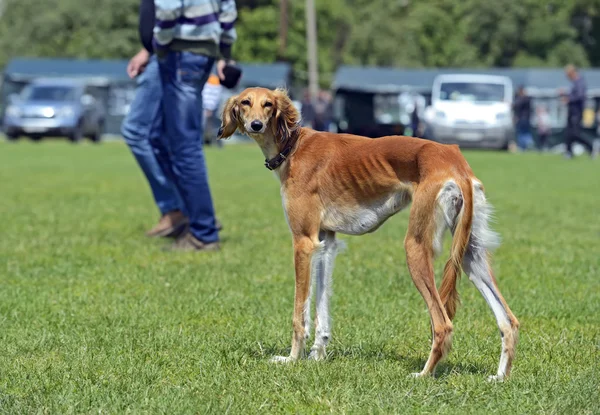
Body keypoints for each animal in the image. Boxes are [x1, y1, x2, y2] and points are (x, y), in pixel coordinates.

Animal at [218, 87, 516, 380]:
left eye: (268, 104)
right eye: (245, 102)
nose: (256, 125)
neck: (293, 145)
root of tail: (455, 161)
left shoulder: (303, 242)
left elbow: (299, 312)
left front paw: (292, 359)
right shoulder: (325, 242)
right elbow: (321, 307)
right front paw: (317, 355)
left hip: (416, 245)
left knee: (443, 324)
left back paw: (423, 374)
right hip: (469, 252)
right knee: (509, 321)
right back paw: (500, 376)